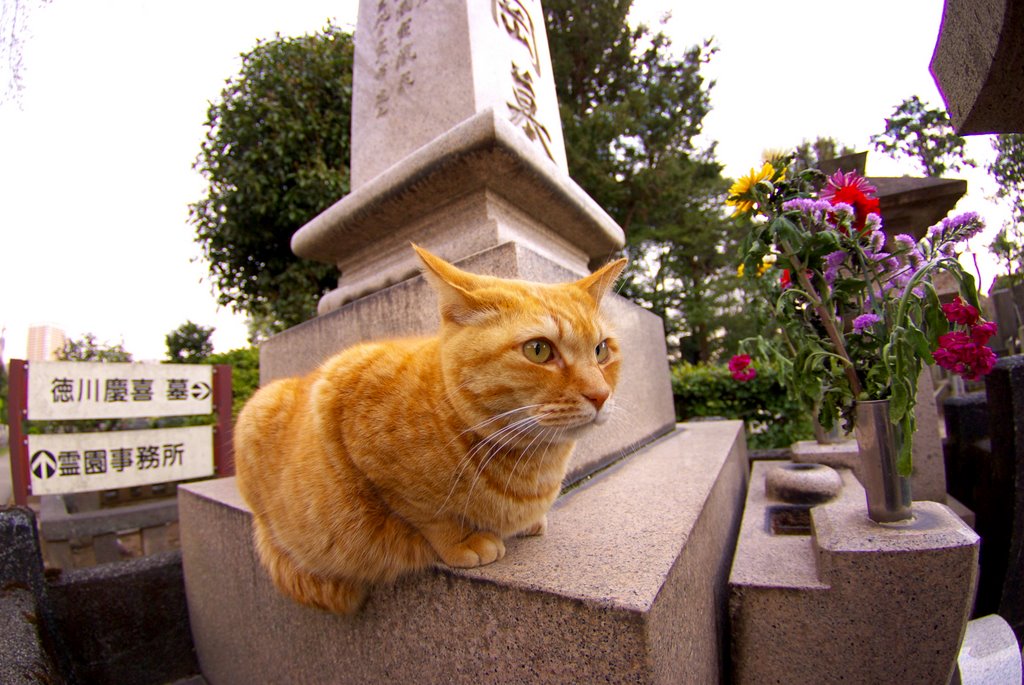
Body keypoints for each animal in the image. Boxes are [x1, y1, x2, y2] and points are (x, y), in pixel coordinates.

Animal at [235, 245, 626, 614]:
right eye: (539, 350)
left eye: (601, 350)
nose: (601, 395)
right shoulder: (357, 422)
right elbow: (429, 512)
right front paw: (464, 539)